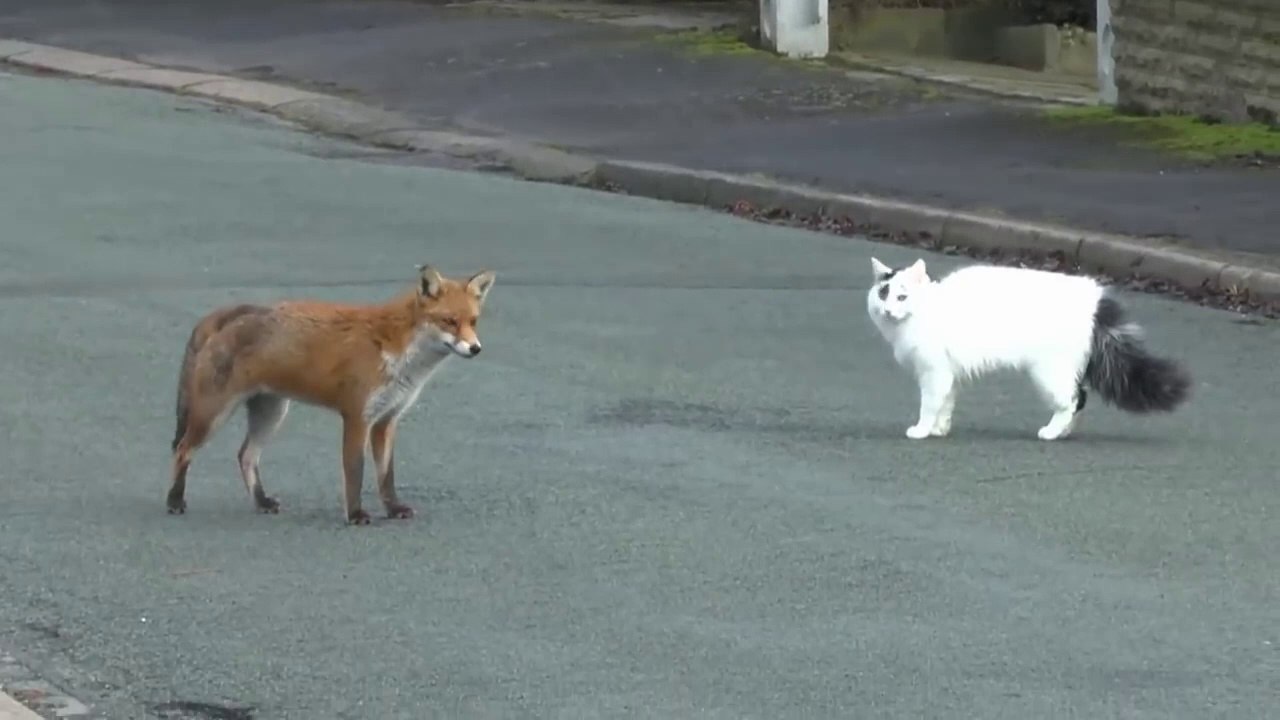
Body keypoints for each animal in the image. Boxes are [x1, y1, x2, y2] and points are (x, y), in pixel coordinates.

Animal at [167, 264, 496, 525]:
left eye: (473, 321)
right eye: (449, 321)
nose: (476, 348)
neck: (400, 353)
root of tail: (228, 312)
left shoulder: (386, 420)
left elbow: (386, 476)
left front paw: (393, 509)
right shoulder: (357, 416)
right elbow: (355, 471)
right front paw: (356, 514)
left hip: (272, 413)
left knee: (245, 455)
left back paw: (261, 502)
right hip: (213, 414)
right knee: (183, 450)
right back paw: (174, 500)